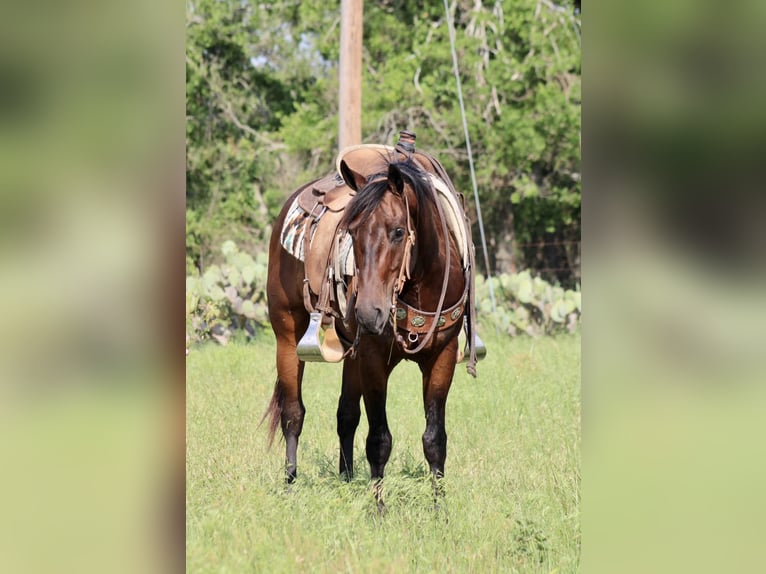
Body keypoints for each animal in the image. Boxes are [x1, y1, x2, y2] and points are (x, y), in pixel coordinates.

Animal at [264, 142, 480, 506]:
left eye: (398, 231)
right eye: (351, 232)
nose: (368, 312)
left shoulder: (443, 357)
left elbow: (435, 439)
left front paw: (440, 510)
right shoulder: (374, 359)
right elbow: (379, 440)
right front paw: (378, 509)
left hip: (352, 355)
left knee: (346, 415)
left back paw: (347, 481)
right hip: (287, 334)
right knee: (293, 414)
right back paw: (290, 486)